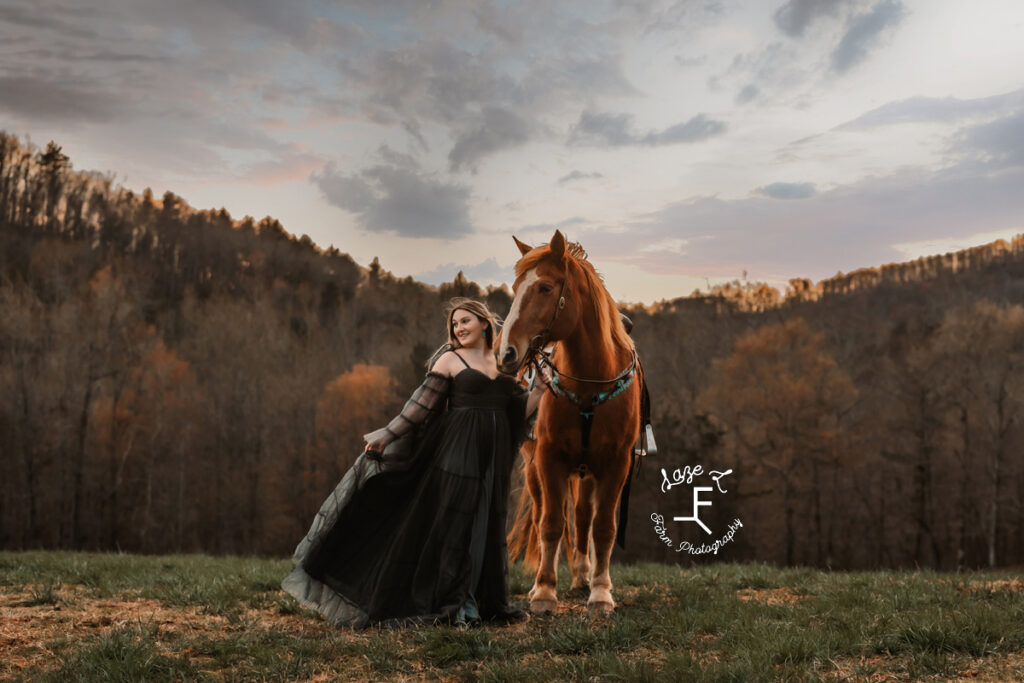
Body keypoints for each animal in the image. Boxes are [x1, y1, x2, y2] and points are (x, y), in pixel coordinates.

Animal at [497, 228, 638, 614]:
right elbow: (550, 524)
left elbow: (603, 527)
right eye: (516, 287)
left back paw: (582, 576)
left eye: (545, 287)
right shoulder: (549, 459)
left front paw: (601, 592)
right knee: (547, 513)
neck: (590, 383)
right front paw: (545, 592)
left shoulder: (616, 464)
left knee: (583, 515)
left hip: (588, 472)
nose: (506, 352)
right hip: (535, 468)